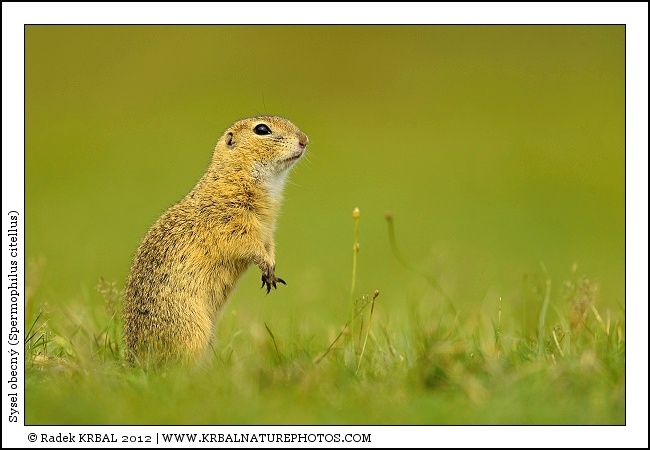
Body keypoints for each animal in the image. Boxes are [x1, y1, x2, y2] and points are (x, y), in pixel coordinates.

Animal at [122, 116, 308, 367]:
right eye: (262, 129)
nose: (304, 140)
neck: (236, 175)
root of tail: (133, 360)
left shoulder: (266, 231)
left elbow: (269, 245)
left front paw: (271, 266)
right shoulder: (230, 223)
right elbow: (248, 245)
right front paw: (266, 266)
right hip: (191, 330)